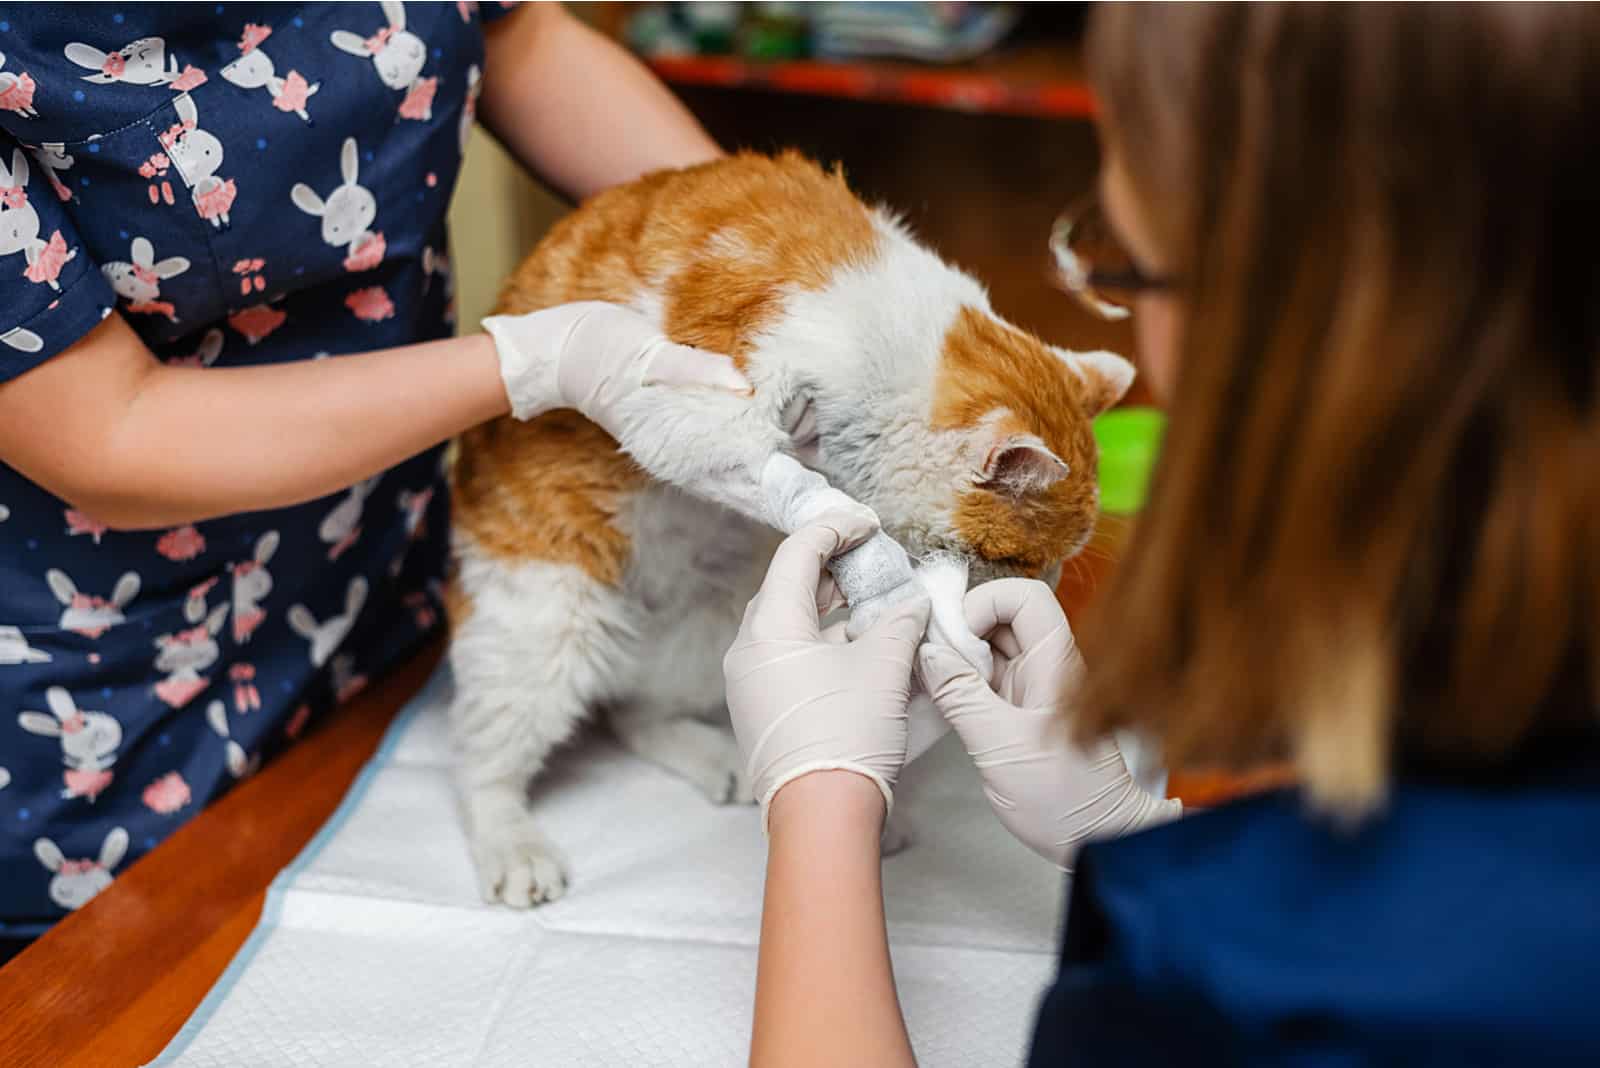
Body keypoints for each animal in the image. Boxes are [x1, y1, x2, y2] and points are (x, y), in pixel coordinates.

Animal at [444, 147, 1132, 901]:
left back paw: (728, 761)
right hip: (545, 630)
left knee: (636, 711)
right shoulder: (695, 408)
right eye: (1019, 560)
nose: (1047, 587)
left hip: (712, 624)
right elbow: (789, 482)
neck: (888, 348)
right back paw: (514, 846)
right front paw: (854, 527)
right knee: (484, 762)